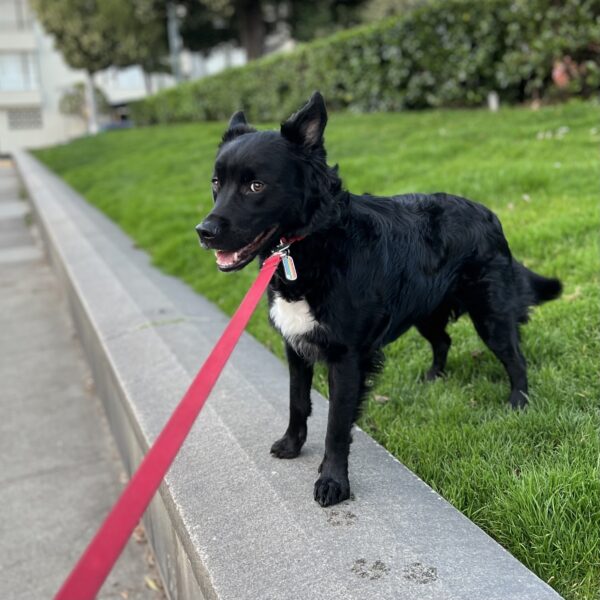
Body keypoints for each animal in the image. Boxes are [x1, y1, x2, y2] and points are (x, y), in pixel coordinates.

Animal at [198, 92, 564, 506]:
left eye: (256, 186)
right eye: (216, 182)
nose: (203, 231)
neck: (313, 243)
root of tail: (490, 214)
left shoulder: (347, 358)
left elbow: (337, 425)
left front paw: (333, 482)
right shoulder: (295, 346)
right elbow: (297, 401)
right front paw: (292, 445)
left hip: (490, 315)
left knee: (514, 357)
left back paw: (518, 402)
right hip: (425, 312)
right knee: (443, 340)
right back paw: (433, 379)